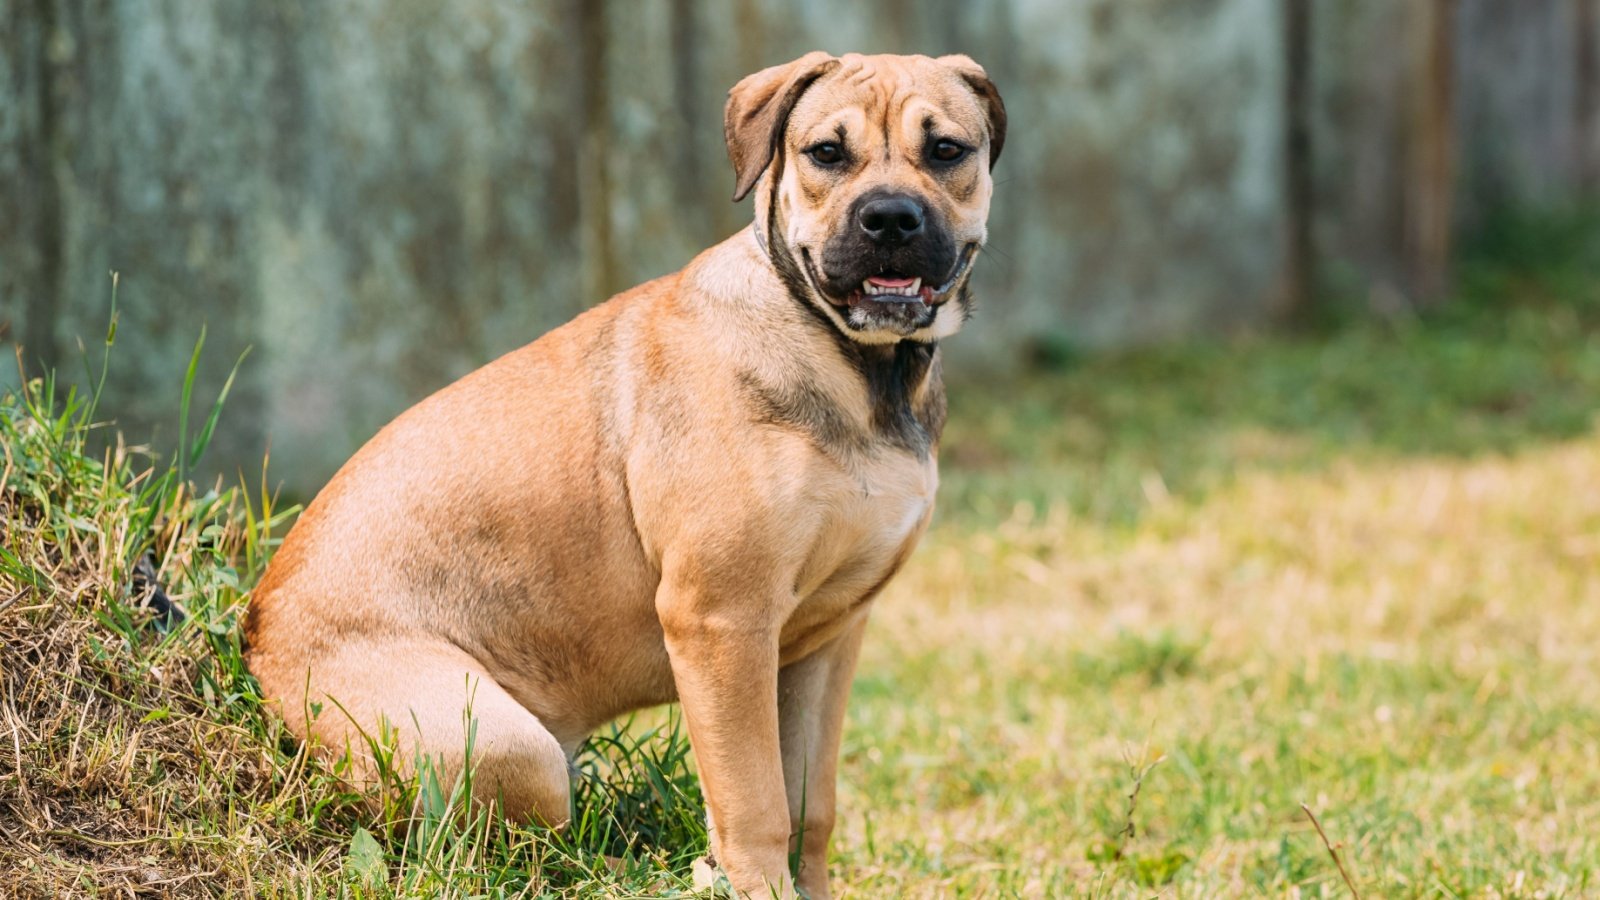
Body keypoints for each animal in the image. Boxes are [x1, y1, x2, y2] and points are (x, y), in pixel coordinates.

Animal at [244, 50, 1004, 896]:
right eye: (826, 154)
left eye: (947, 151)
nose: (891, 219)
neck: (857, 365)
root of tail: (255, 631)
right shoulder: (722, 621)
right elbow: (756, 801)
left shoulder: (827, 639)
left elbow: (811, 804)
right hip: (506, 745)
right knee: (502, 852)